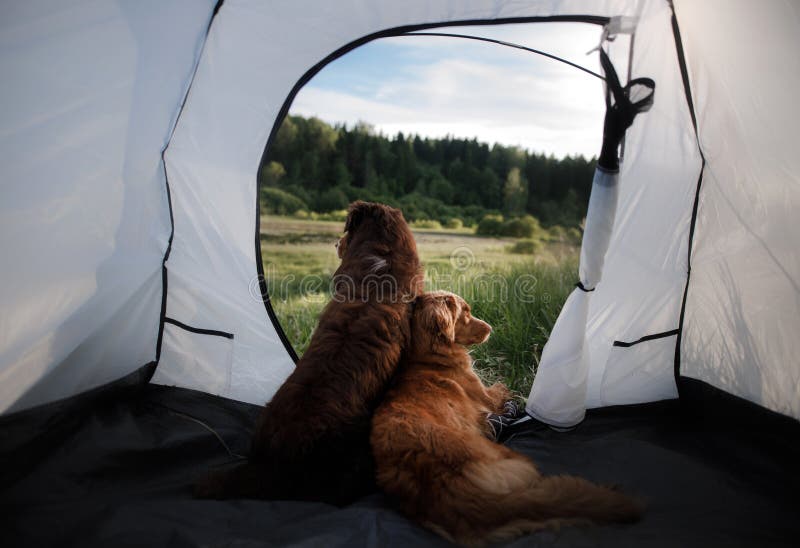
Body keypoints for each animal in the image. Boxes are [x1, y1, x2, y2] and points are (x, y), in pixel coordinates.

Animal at [370, 292, 644, 544]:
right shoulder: (488, 400)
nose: (491, 328)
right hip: (518, 459)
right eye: (465, 313)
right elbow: (503, 389)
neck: (428, 356)